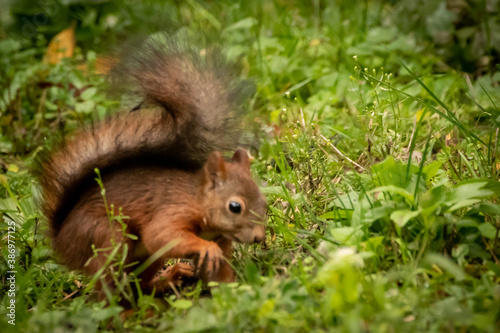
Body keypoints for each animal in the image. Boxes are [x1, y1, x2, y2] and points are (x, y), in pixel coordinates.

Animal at [33, 36, 268, 294]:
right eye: (235, 207)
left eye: (264, 202)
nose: (258, 237)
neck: (198, 201)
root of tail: (61, 242)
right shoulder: (174, 211)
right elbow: (162, 235)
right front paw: (206, 247)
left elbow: (219, 274)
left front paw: (238, 293)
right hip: (107, 237)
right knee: (106, 283)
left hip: (147, 257)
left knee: (141, 284)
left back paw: (168, 278)